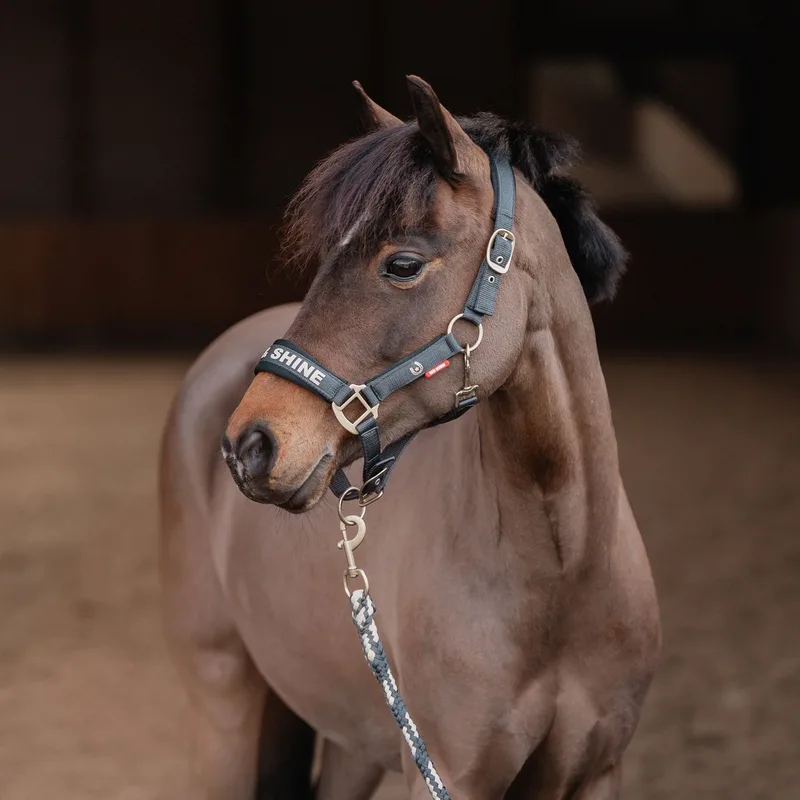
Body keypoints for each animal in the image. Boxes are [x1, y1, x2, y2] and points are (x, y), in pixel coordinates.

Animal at [159, 76, 661, 799]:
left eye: (401, 263)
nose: (251, 445)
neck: (562, 575)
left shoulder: (595, 772)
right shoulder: (447, 773)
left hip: (351, 736)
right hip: (221, 699)